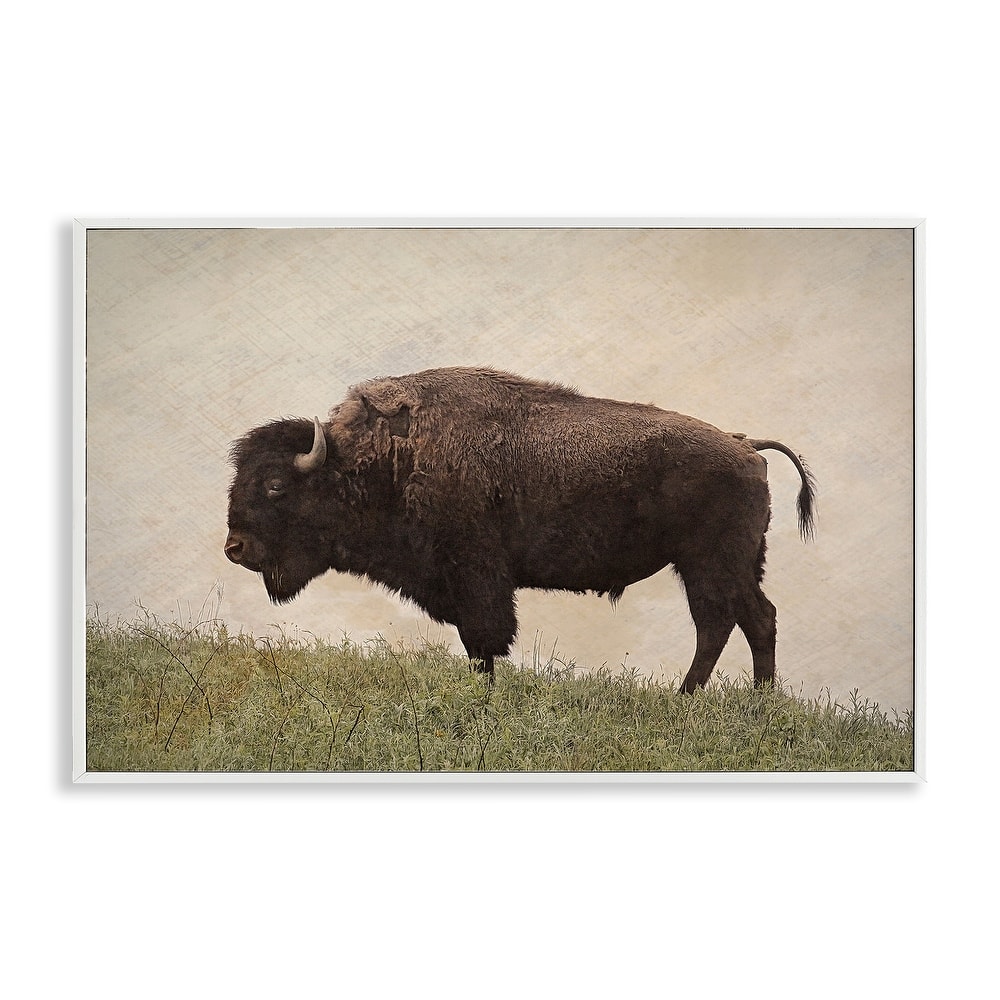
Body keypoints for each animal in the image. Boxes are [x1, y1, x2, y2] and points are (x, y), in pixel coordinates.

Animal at [225, 367, 815, 692]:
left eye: (275, 485)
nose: (235, 547)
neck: (383, 457)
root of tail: (744, 446)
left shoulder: (476, 579)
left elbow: (483, 642)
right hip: (725, 566)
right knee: (748, 620)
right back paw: (747, 704)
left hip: (710, 564)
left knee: (727, 622)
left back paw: (698, 700)